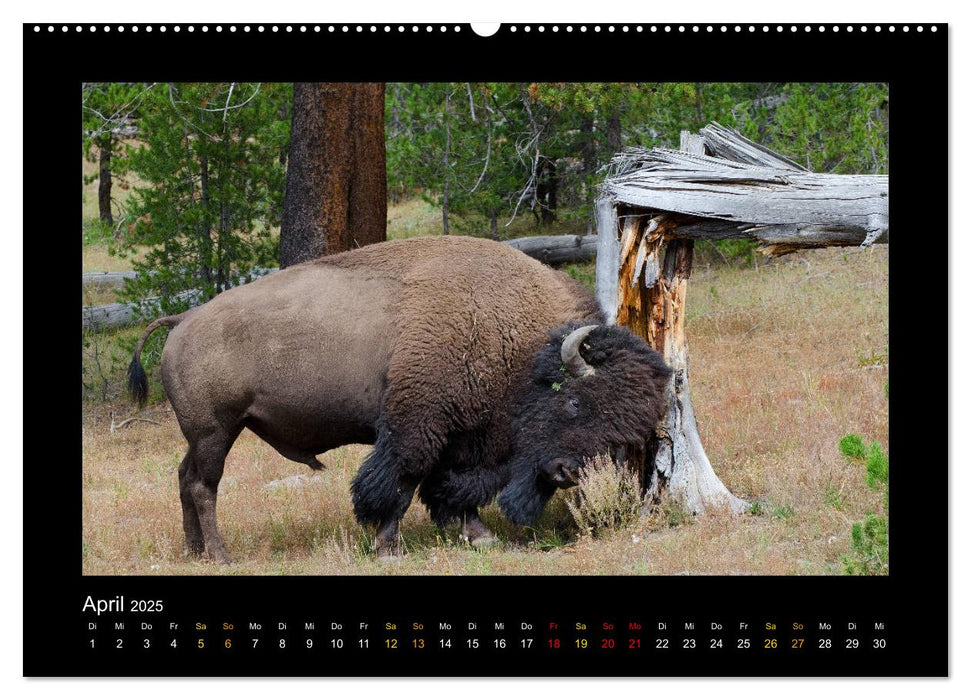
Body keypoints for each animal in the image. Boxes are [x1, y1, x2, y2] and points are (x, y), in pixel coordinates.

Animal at [129, 237, 672, 564]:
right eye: (576, 403)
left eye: (626, 432)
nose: (567, 472)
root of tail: (184, 320)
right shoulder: (417, 425)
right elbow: (401, 480)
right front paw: (388, 546)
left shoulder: (464, 435)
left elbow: (454, 486)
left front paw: (478, 535)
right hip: (216, 431)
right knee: (203, 485)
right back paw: (221, 555)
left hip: (205, 435)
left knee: (185, 478)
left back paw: (195, 552)